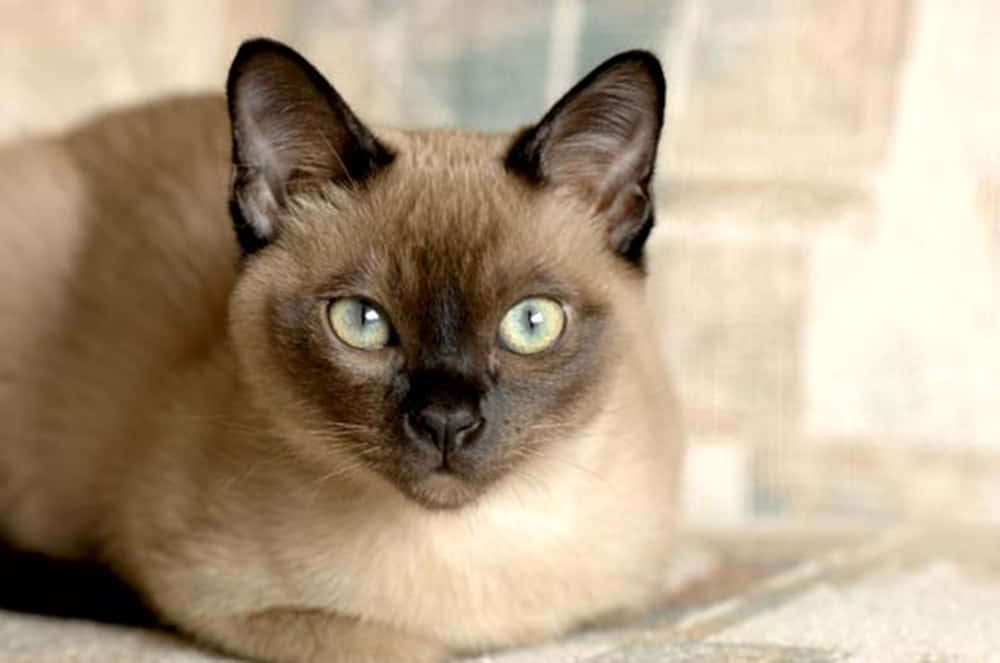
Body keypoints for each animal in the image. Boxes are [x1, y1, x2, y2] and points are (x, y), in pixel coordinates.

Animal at [0, 40, 680, 663]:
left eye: (532, 323)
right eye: (361, 322)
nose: (447, 421)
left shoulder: (618, 603)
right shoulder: (211, 599)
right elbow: (403, 649)